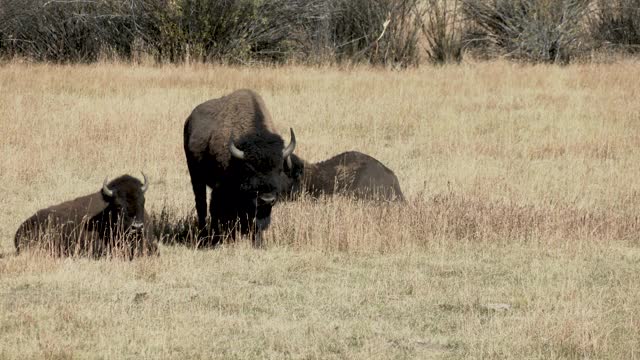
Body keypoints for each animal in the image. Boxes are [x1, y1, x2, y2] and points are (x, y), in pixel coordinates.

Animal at [184, 89, 296, 248]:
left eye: (279, 169)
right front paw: (218, 240)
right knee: (202, 205)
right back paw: (204, 235)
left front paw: (258, 242)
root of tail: (189, 119)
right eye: (249, 170)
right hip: (196, 177)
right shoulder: (221, 189)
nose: (267, 199)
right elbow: (218, 211)